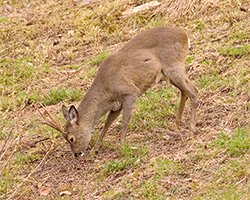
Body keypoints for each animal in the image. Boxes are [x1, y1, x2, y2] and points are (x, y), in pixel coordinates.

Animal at [40, 26, 198, 157]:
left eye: (71, 138)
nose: (77, 154)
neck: (105, 89)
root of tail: (185, 35)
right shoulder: (116, 105)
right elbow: (106, 124)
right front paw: (96, 149)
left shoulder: (130, 92)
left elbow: (125, 121)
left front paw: (122, 146)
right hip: (169, 74)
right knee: (185, 92)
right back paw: (178, 124)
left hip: (173, 66)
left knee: (194, 91)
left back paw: (191, 131)